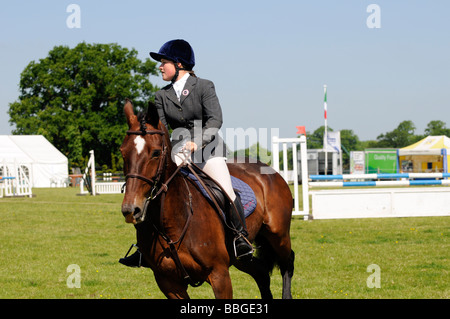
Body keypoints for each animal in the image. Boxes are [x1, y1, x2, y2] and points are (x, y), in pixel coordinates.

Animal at [119, 100, 296, 300]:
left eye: (156, 153)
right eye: (123, 152)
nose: (131, 210)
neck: (171, 221)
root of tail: (269, 171)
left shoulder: (219, 275)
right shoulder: (168, 283)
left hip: (278, 235)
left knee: (287, 262)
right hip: (241, 257)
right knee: (261, 273)